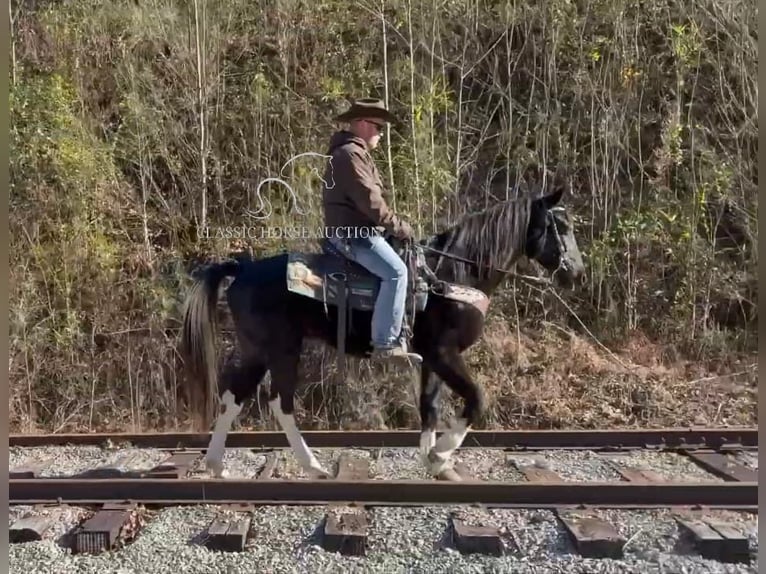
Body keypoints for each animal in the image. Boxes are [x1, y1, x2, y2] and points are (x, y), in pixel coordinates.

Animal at [182, 184, 588, 482]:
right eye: (562, 227)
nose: (578, 273)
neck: (452, 276)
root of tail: (243, 268)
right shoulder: (445, 354)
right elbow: (477, 400)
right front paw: (442, 453)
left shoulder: (433, 358)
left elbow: (429, 406)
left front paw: (435, 462)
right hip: (281, 350)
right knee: (280, 404)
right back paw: (314, 467)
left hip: (258, 351)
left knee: (234, 398)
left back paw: (218, 466)